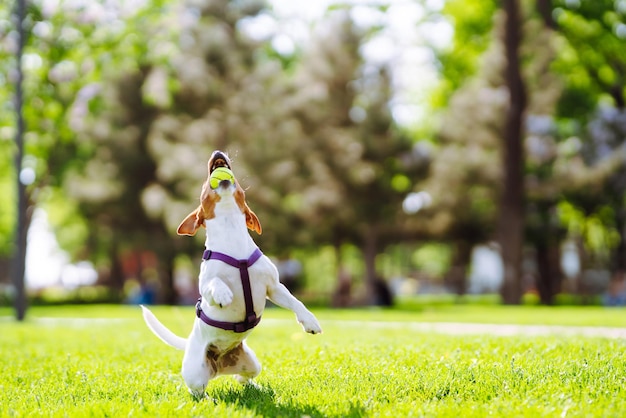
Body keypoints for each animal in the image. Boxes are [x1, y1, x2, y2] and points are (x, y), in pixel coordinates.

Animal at [139, 151, 320, 398]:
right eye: (204, 185)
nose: (217, 153)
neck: (230, 230)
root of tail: (221, 362)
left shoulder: (274, 287)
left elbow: (296, 302)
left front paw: (310, 321)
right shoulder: (205, 284)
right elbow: (215, 283)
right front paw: (224, 295)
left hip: (251, 363)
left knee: (242, 377)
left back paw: (257, 388)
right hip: (196, 373)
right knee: (196, 390)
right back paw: (209, 400)